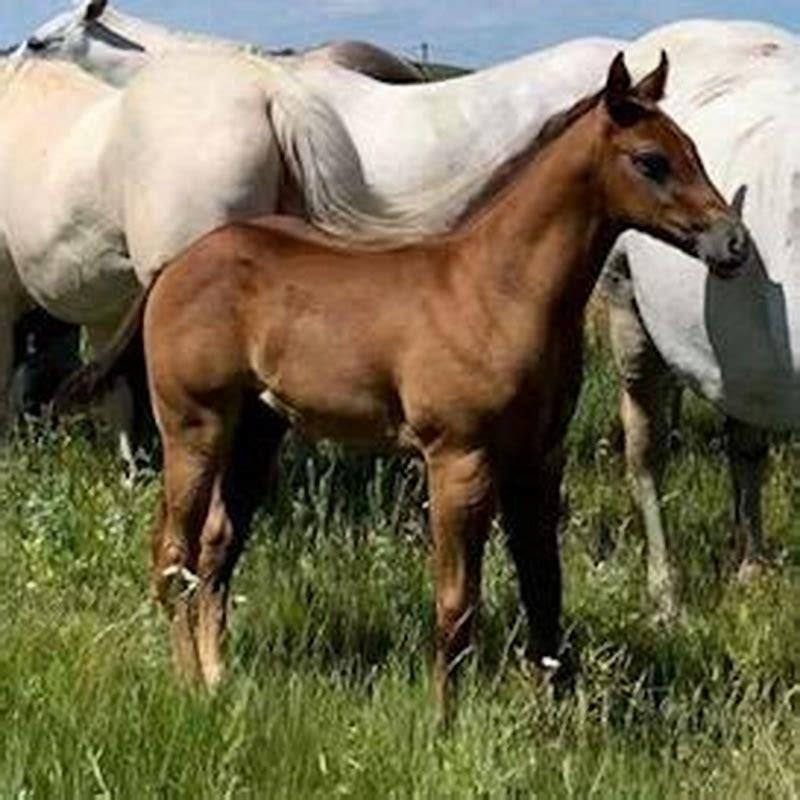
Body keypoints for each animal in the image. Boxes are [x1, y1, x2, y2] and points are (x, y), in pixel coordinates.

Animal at [60, 53, 751, 716]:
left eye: (693, 147)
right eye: (651, 161)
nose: (734, 244)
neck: (496, 288)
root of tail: (178, 265)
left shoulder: (537, 459)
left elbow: (544, 590)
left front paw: (553, 717)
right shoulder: (458, 461)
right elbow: (457, 603)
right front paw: (445, 724)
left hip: (256, 429)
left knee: (215, 549)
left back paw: (217, 676)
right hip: (193, 428)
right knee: (172, 555)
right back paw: (188, 685)